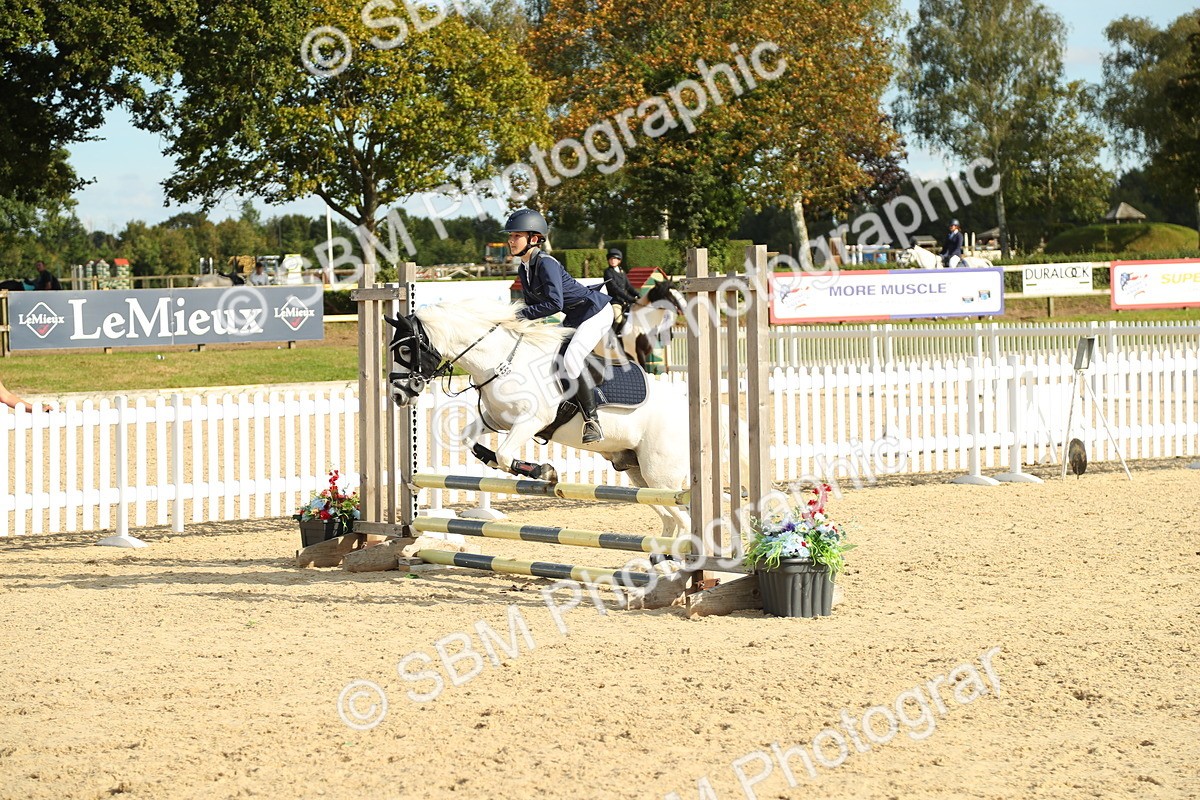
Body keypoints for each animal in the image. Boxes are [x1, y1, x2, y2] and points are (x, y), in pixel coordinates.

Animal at [385, 297, 692, 536]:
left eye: (405, 350)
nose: (398, 396)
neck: (500, 361)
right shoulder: (495, 420)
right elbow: (469, 440)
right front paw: (493, 460)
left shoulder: (532, 420)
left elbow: (505, 455)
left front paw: (543, 471)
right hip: (637, 474)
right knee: (670, 518)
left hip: (660, 475)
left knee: (685, 519)